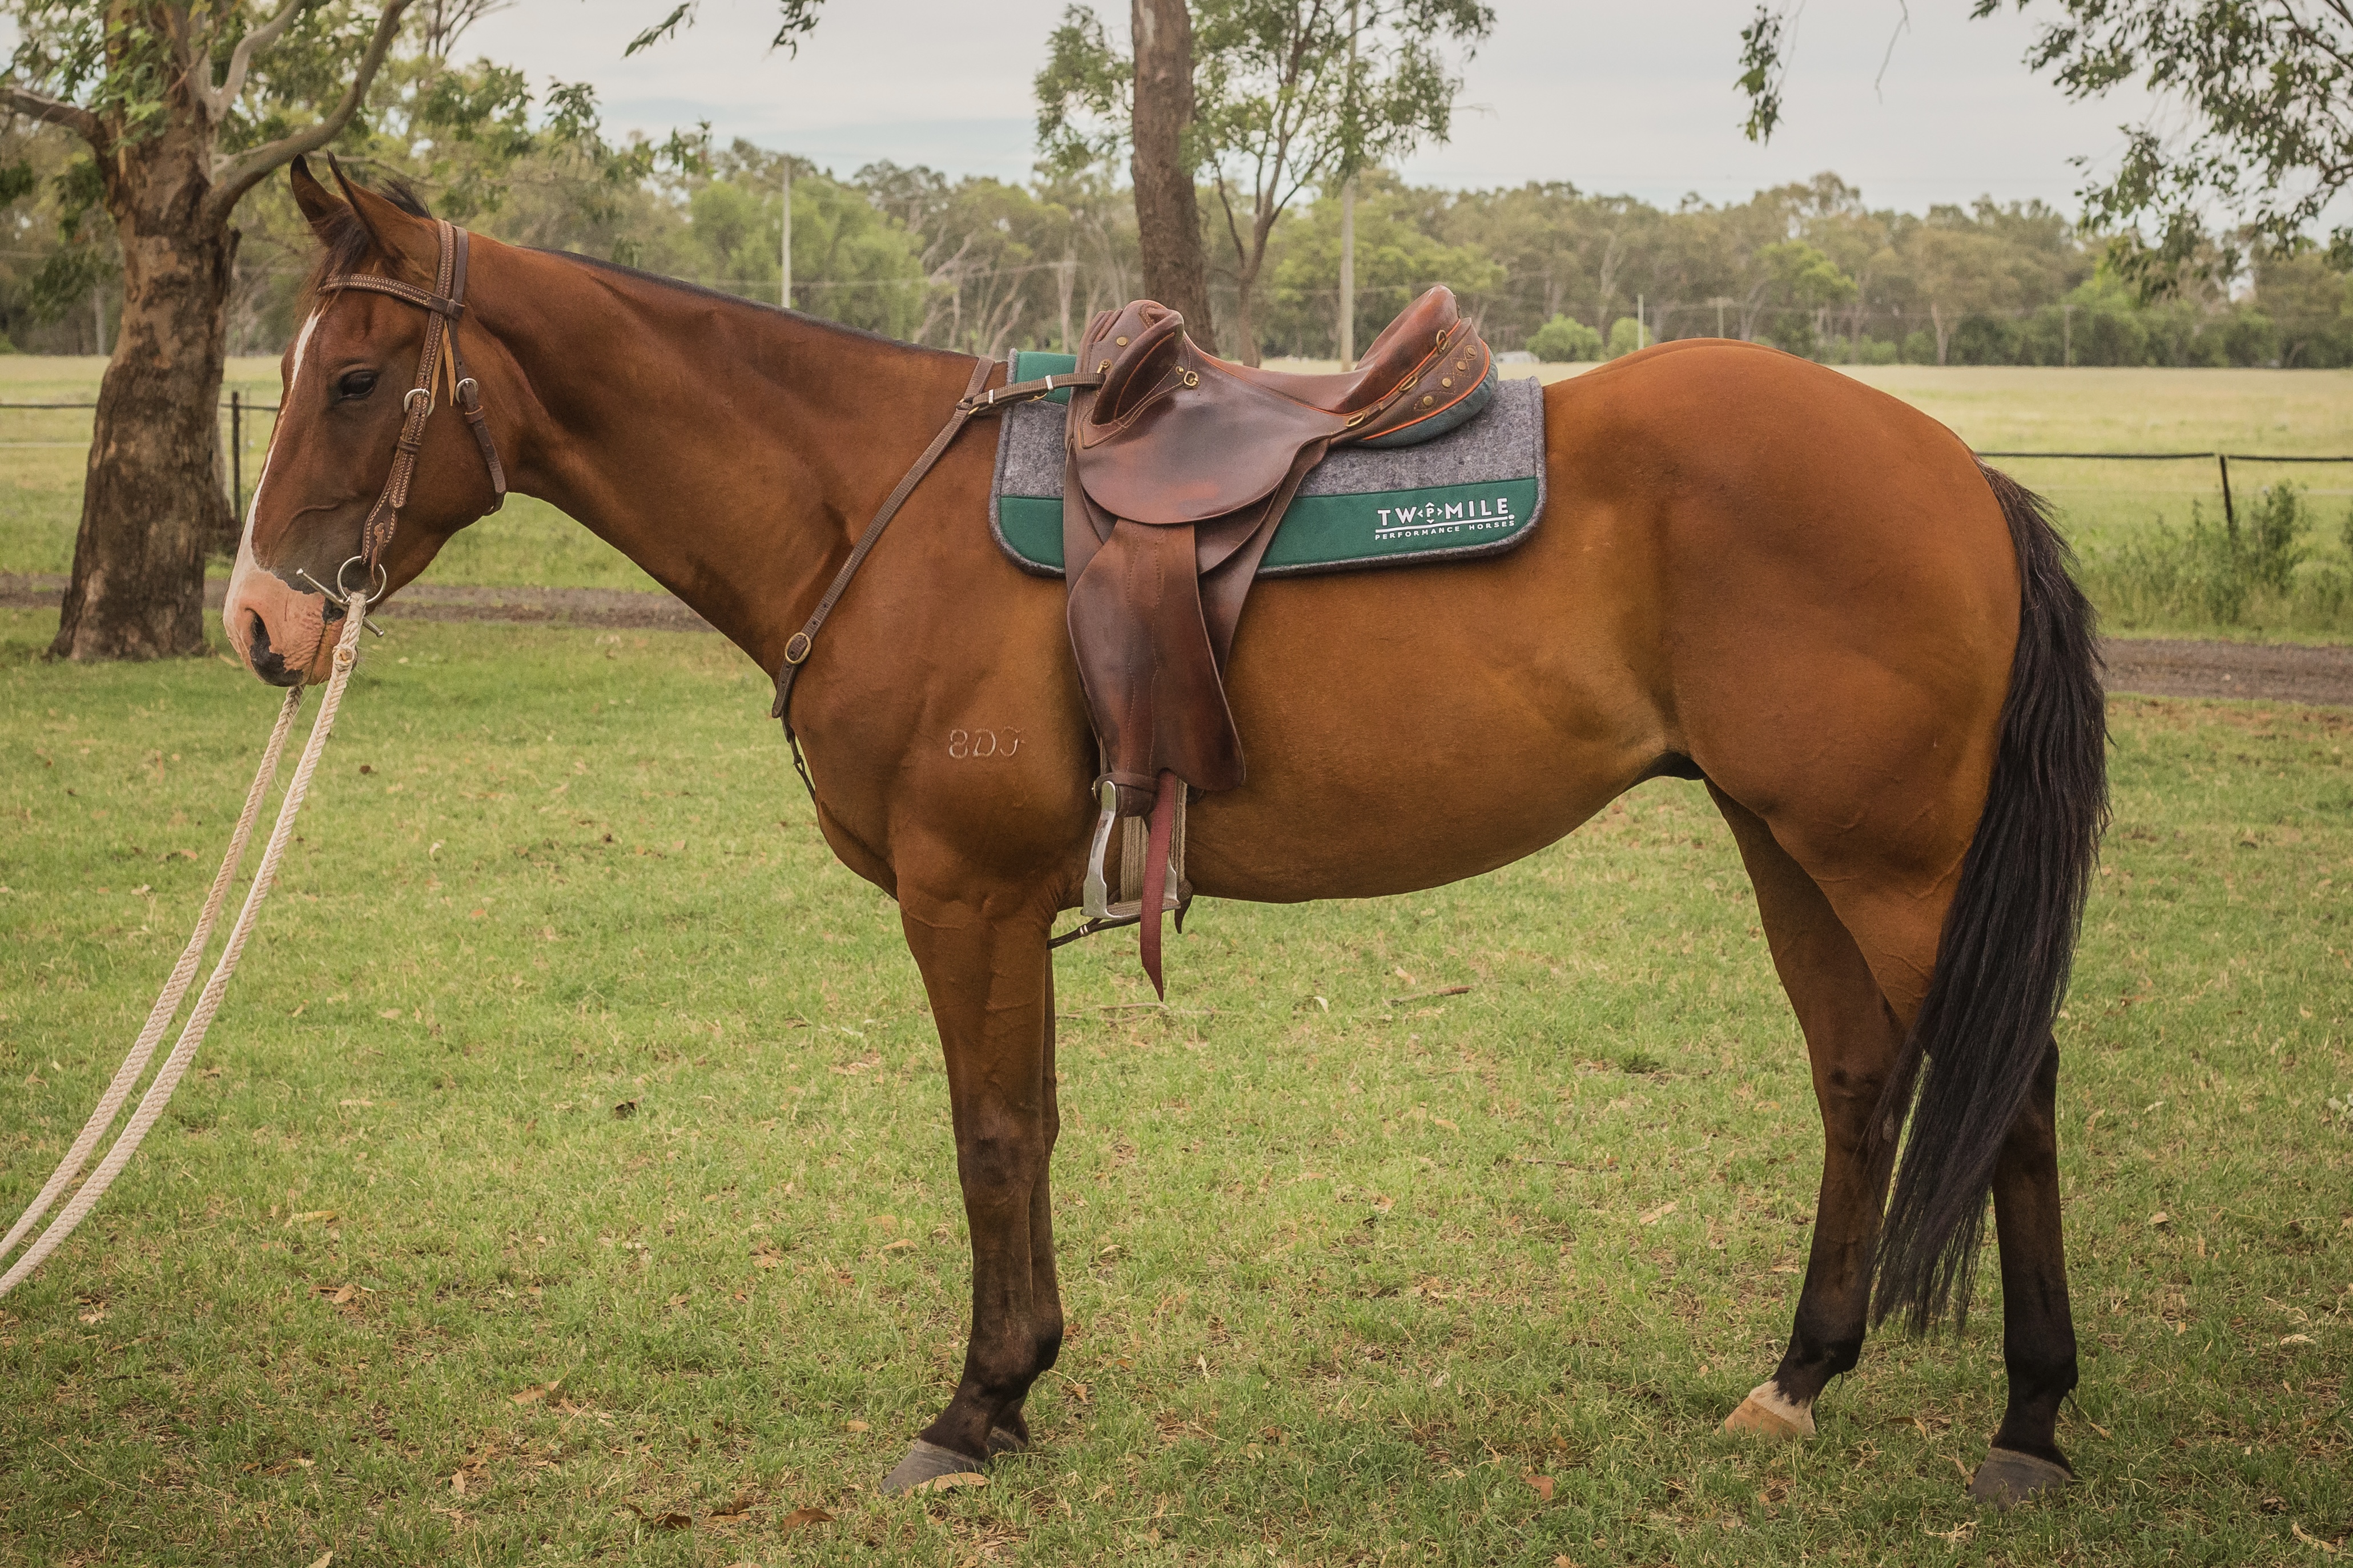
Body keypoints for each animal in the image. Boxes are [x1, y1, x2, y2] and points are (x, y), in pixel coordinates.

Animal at [221, 161, 2107, 1505]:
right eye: (307, 370)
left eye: (362, 376)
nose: (262, 621)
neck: (872, 501)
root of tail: (1954, 472)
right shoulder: (1007, 903)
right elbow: (1036, 1127)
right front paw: (1021, 1384)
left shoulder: (961, 894)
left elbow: (988, 1136)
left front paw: (970, 1405)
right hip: (1790, 844)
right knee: (1859, 1080)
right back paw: (1796, 1379)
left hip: (1893, 866)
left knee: (2011, 1090)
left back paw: (2026, 1422)